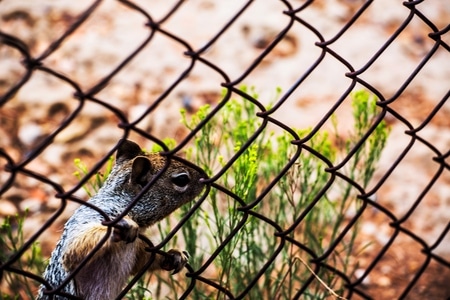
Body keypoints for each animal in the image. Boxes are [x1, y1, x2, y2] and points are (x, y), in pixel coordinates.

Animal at [37, 139, 206, 298]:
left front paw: (174, 255)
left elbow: (141, 261)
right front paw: (122, 227)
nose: (204, 177)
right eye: (182, 180)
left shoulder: (138, 246)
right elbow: (74, 250)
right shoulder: (93, 216)